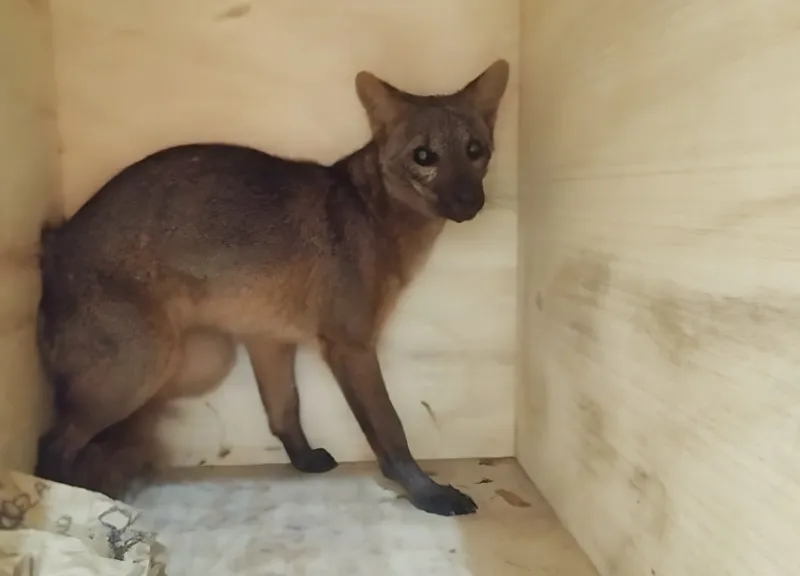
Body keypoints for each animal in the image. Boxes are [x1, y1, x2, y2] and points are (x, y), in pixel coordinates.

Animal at [34, 59, 510, 516]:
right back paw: (76, 497)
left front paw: (303, 460)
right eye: (424, 156)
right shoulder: (350, 346)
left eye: (475, 150)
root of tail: (56, 244)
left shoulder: (268, 340)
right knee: (52, 444)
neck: (372, 214)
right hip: (150, 365)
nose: (469, 201)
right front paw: (426, 492)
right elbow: (390, 431)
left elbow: (284, 411)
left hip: (200, 362)